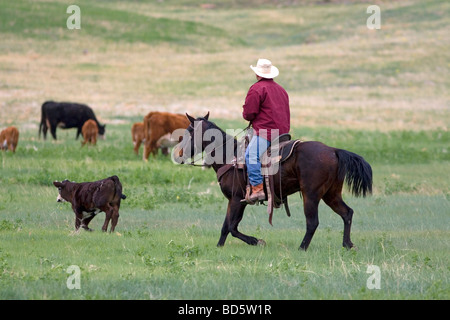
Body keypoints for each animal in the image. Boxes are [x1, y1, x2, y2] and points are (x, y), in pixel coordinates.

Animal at [175, 112, 372, 250]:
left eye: (189, 131)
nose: (179, 154)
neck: (230, 156)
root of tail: (333, 150)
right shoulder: (235, 200)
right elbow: (226, 227)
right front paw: (219, 247)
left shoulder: (237, 199)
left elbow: (232, 227)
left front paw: (257, 241)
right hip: (331, 194)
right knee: (347, 213)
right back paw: (348, 244)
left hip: (311, 195)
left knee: (313, 222)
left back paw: (302, 248)